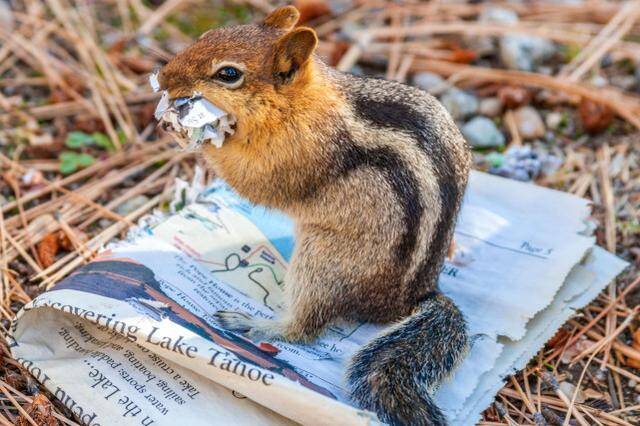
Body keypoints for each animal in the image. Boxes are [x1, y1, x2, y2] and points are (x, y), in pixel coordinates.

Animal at [158, 5, 472, 422]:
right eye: (208, 35)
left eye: (228, 74)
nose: (162, 78)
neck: (299, 103)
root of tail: (409, 300)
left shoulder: (295, 156)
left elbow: (254, 180)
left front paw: (192, 135)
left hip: (322, 261)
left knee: (306, 328)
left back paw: (258, 324)